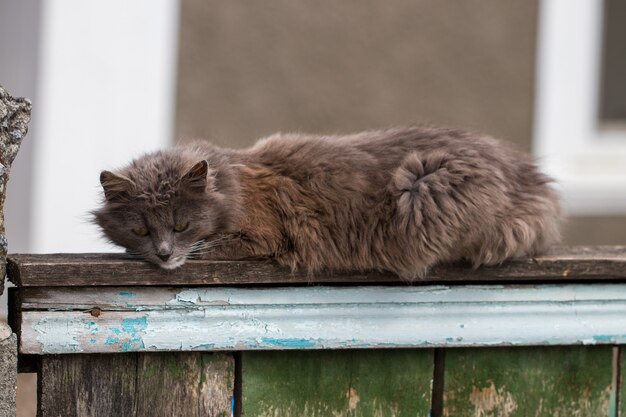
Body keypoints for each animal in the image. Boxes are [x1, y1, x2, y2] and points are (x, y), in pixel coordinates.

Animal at [92, 125, 560, 278]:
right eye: (141, 228)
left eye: (182, 225)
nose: (164, 252)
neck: (233, 180)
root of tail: (530, 176)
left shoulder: (266, 235)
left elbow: (216, 246)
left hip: (424, 186)